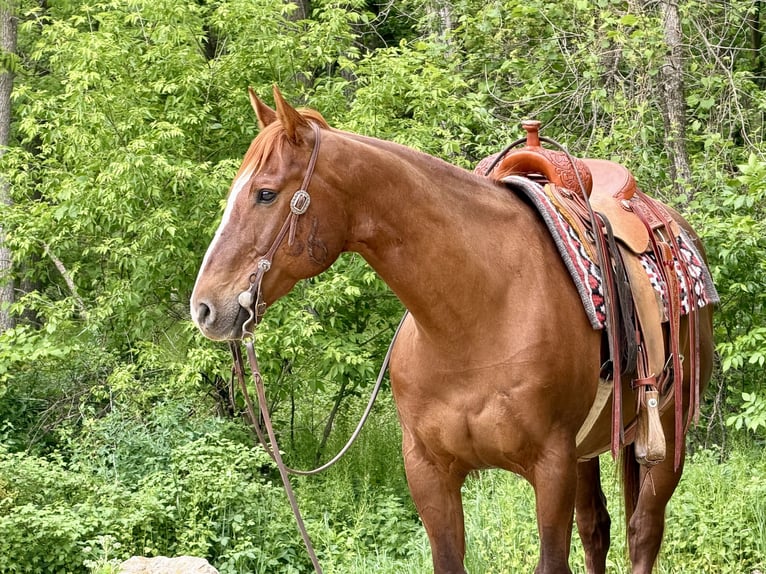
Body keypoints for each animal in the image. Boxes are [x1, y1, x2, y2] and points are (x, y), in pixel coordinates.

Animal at [190, 86, 715, 574]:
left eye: (265, 193)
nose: (205, 308)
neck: (474, 316)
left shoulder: (553, 467)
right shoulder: (429, 471)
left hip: (667, 434)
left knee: (643, 531)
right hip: (590, 449)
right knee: (596, 529)